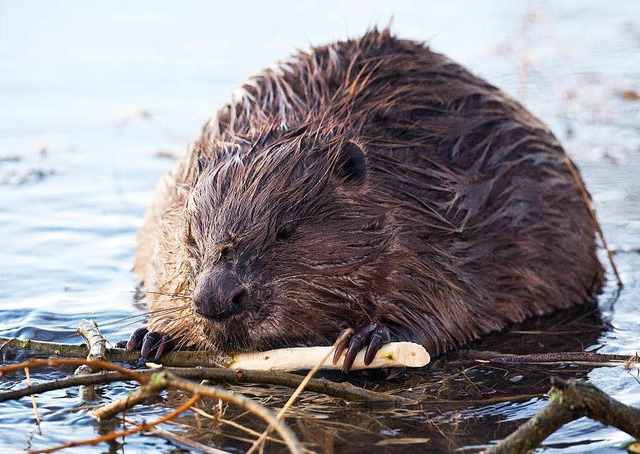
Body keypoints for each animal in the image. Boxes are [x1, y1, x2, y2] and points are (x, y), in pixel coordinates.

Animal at [127, 28, 604, 370]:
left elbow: (447, 301)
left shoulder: (442, 221)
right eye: (191, 236)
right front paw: (154, 335)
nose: (216, 299)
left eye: (285, 231)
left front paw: (369, 337)